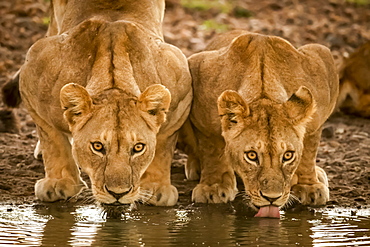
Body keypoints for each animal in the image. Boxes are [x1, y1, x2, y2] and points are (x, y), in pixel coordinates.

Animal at [5, 0, 192, 206]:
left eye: (138, 148)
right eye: (97, 146)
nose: (118, 193)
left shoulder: (181, 94)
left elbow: (163, 147)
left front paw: (156, 187)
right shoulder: (31, 74)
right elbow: (53, 141)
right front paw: (60, 182)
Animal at [182, 29, 338, 217]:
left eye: (288, 155)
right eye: (251, 155)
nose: (272, 198)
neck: (264, 90)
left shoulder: (321, 59)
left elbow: (309, 147)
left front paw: (308, 186)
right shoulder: (198, 75)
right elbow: (211, 147)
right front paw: (213, 187)